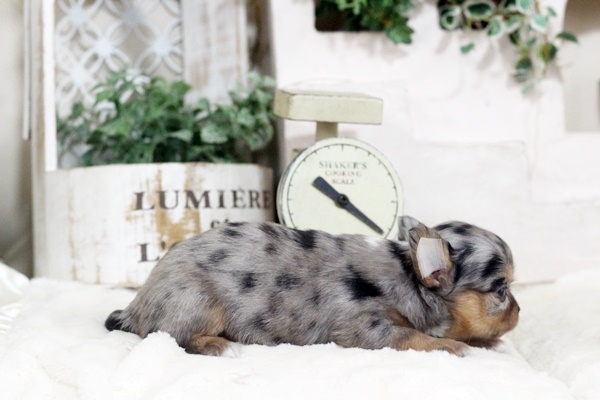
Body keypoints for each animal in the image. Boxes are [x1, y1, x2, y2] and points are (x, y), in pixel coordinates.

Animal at [105, 216, 519, 357]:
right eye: (501, 290)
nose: (519, 311)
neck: (408, 275)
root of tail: (137, 305)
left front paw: (490, 343)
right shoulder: (365, 327)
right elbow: (413, 337)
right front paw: (451, 346)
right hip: (198, 302)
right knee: (173, 335)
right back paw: (219, 346)